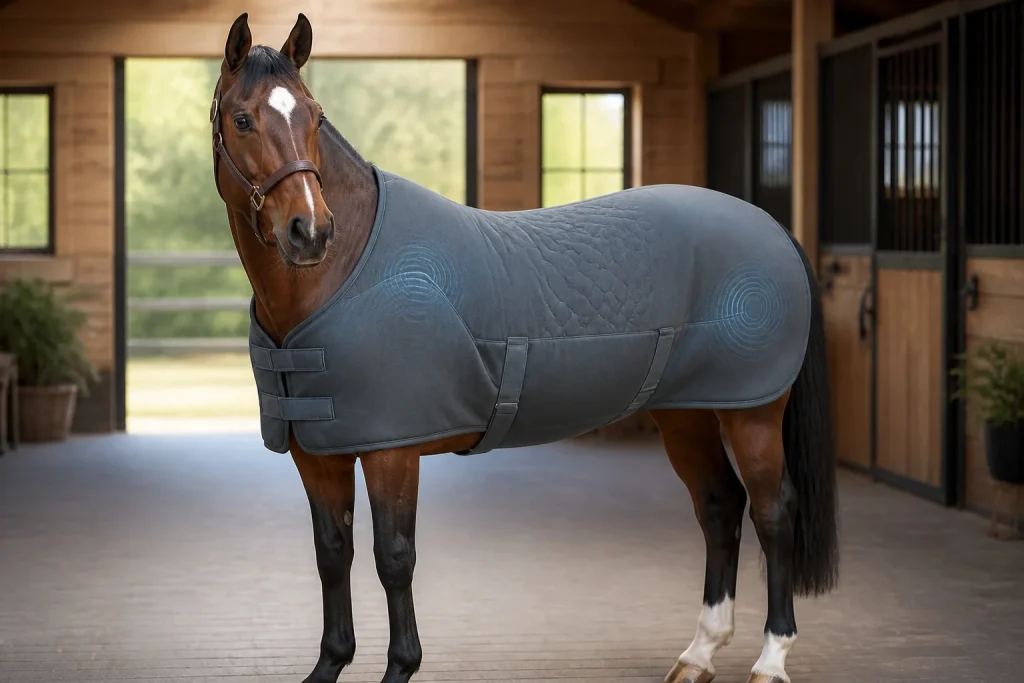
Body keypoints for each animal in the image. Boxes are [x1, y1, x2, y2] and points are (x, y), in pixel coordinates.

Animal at [209, 13, 839, 683]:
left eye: (313, 115)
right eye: (243, 119)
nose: (310, 231)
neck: (347, 268)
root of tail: (773, 229)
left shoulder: (391, 452)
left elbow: (393, 557)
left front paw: (401, 665)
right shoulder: (318, 451)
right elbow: (333, 553)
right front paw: (331, 663)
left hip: (753, 415)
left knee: (773, 514)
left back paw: (771, 658)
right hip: (686, 416)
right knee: (719, 507)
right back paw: (699, 653)